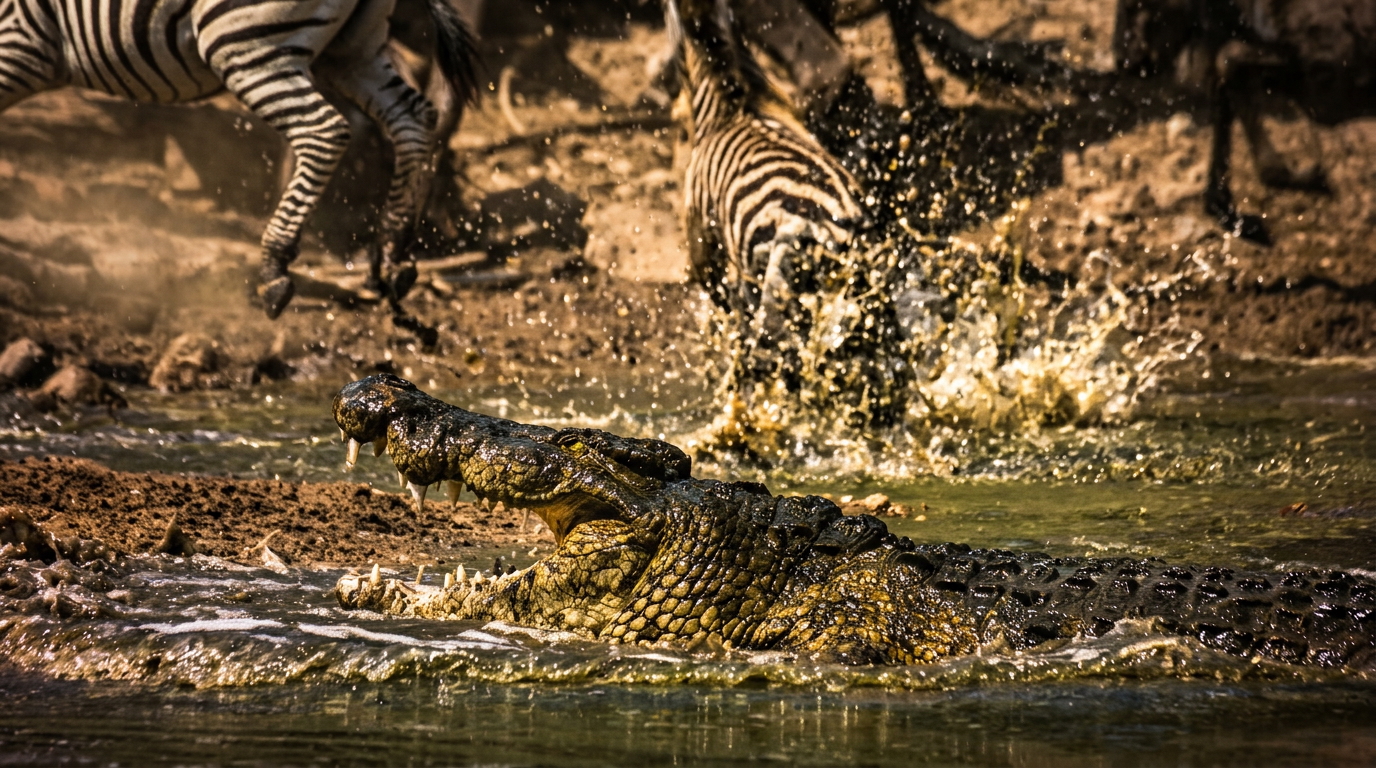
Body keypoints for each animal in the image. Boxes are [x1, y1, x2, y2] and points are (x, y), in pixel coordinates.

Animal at [0, 0, 479, 318]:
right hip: (352, 45)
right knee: (414, 116)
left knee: (324, 129)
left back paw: (274, 266)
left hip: (246, 35)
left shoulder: (15, 39)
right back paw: (392, 251)